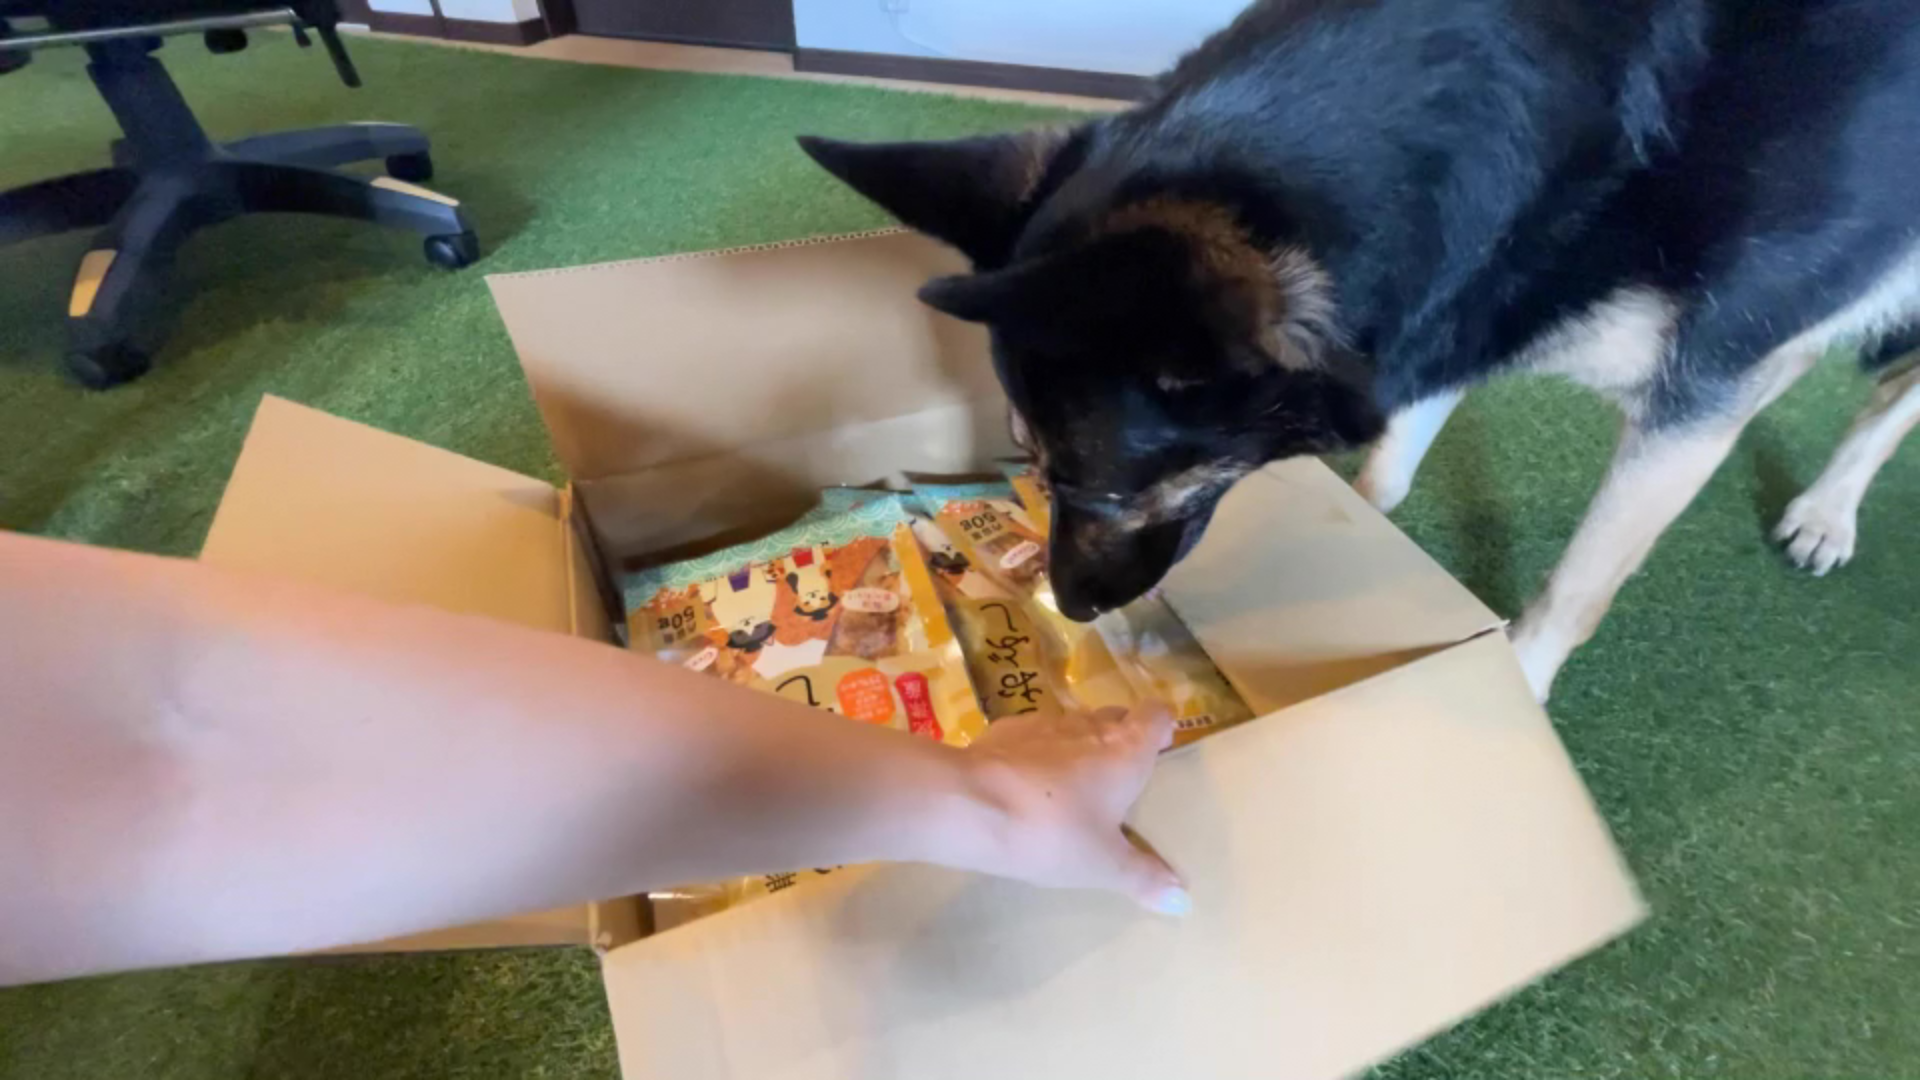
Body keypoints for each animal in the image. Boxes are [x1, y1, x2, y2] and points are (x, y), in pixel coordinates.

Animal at [801, 0, 1920, 701]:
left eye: (1101, 486)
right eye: (1028, 467)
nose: (1066, 604)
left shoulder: (1698, 389)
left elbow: (1581, 582)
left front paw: (1514, 683)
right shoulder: (1453, 308)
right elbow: (1391, 455)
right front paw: (1376, 526)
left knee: (1889, 395)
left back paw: (1828, 508)